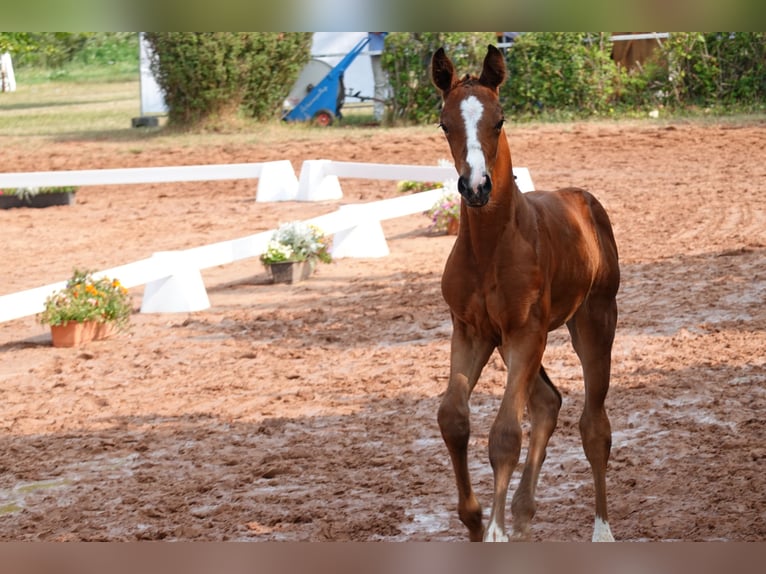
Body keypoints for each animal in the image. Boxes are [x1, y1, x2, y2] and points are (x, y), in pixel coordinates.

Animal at [432, 46, 624, 544]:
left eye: (499, 120)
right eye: (444, 124)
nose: (475, 187)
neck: (490, 248)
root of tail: (584, 200)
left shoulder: (525, 332)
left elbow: (504, 435)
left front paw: (495, 532)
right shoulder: (472, 331)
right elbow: (453, 418)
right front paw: (476, 521)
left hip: (594, 322)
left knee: (594, 425)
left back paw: (601, 530)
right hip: (511, 343)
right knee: (547, 403)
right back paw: (522, 513)